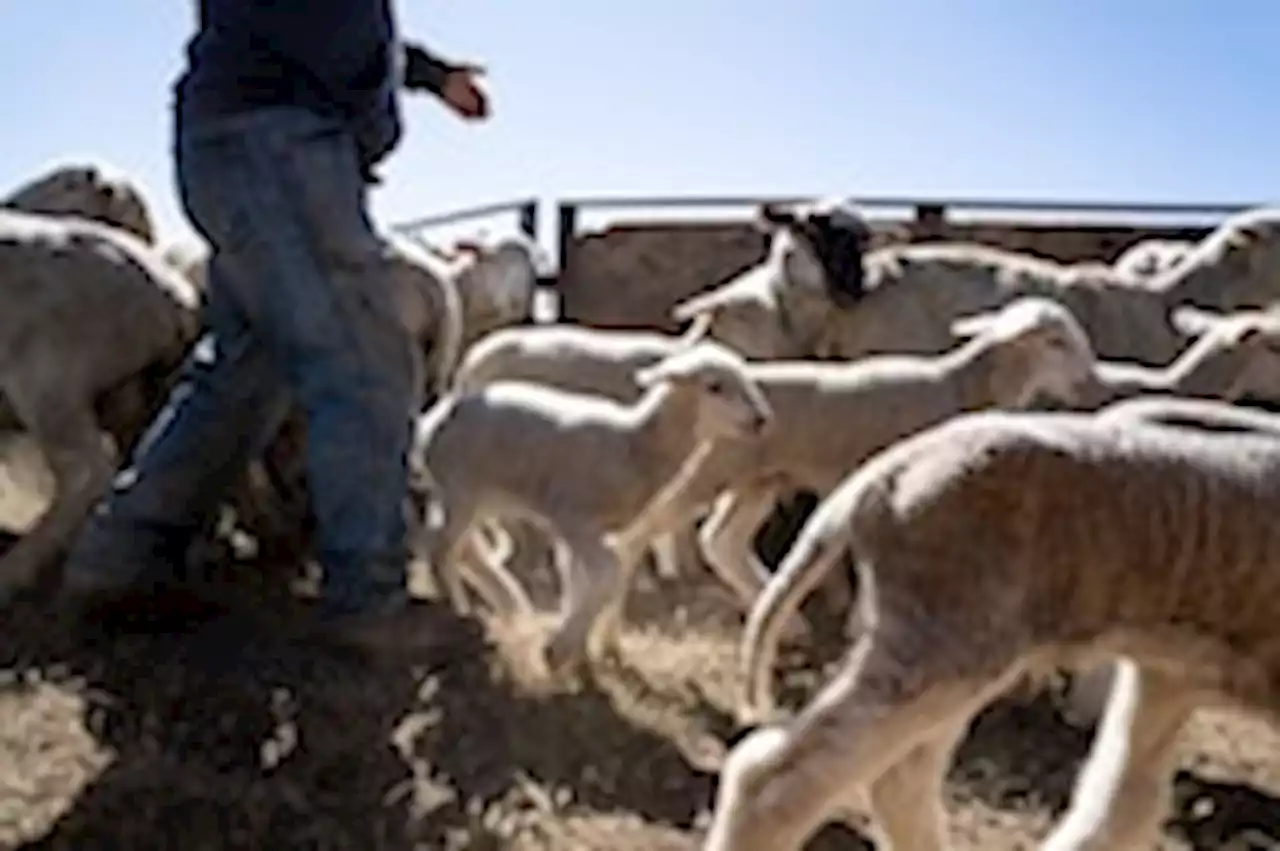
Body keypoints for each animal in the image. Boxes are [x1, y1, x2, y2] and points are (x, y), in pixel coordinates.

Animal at [412, 337, 768, 670]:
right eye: (715, 386)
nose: (761, 419)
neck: (634, 445)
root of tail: (434, 419)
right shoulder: (575, 519)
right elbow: (609, 570)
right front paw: (559, 649)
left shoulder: (586, 530)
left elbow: (580, 578)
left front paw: (577, 649)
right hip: (461, 488)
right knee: (442, 550)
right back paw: (458, 609)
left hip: (478, 496)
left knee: (463, 550)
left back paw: (508, 603)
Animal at [711, 404, 1280, 849]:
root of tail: (881, 477)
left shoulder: (1169, 679)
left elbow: (1119, 813)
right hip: (949, 637)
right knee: (776, 782)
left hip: (944, 639)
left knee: (899, 778)